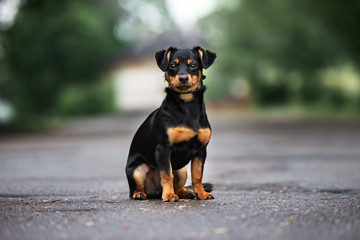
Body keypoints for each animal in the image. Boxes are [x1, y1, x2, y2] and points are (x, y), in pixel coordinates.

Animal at [126, 46, 217, 202]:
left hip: (181, 170)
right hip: (137, 170)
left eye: (193, 65)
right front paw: (168, 195)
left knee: (179, 186)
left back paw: (187, 193)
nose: (183, 78)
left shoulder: (201, 150)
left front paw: (202, 194)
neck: (187, 105)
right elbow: (167, 175)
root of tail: (155, 192)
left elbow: (197, 176)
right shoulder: (163, 149)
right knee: (134, 190)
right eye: (172, 66)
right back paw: (141, 193)